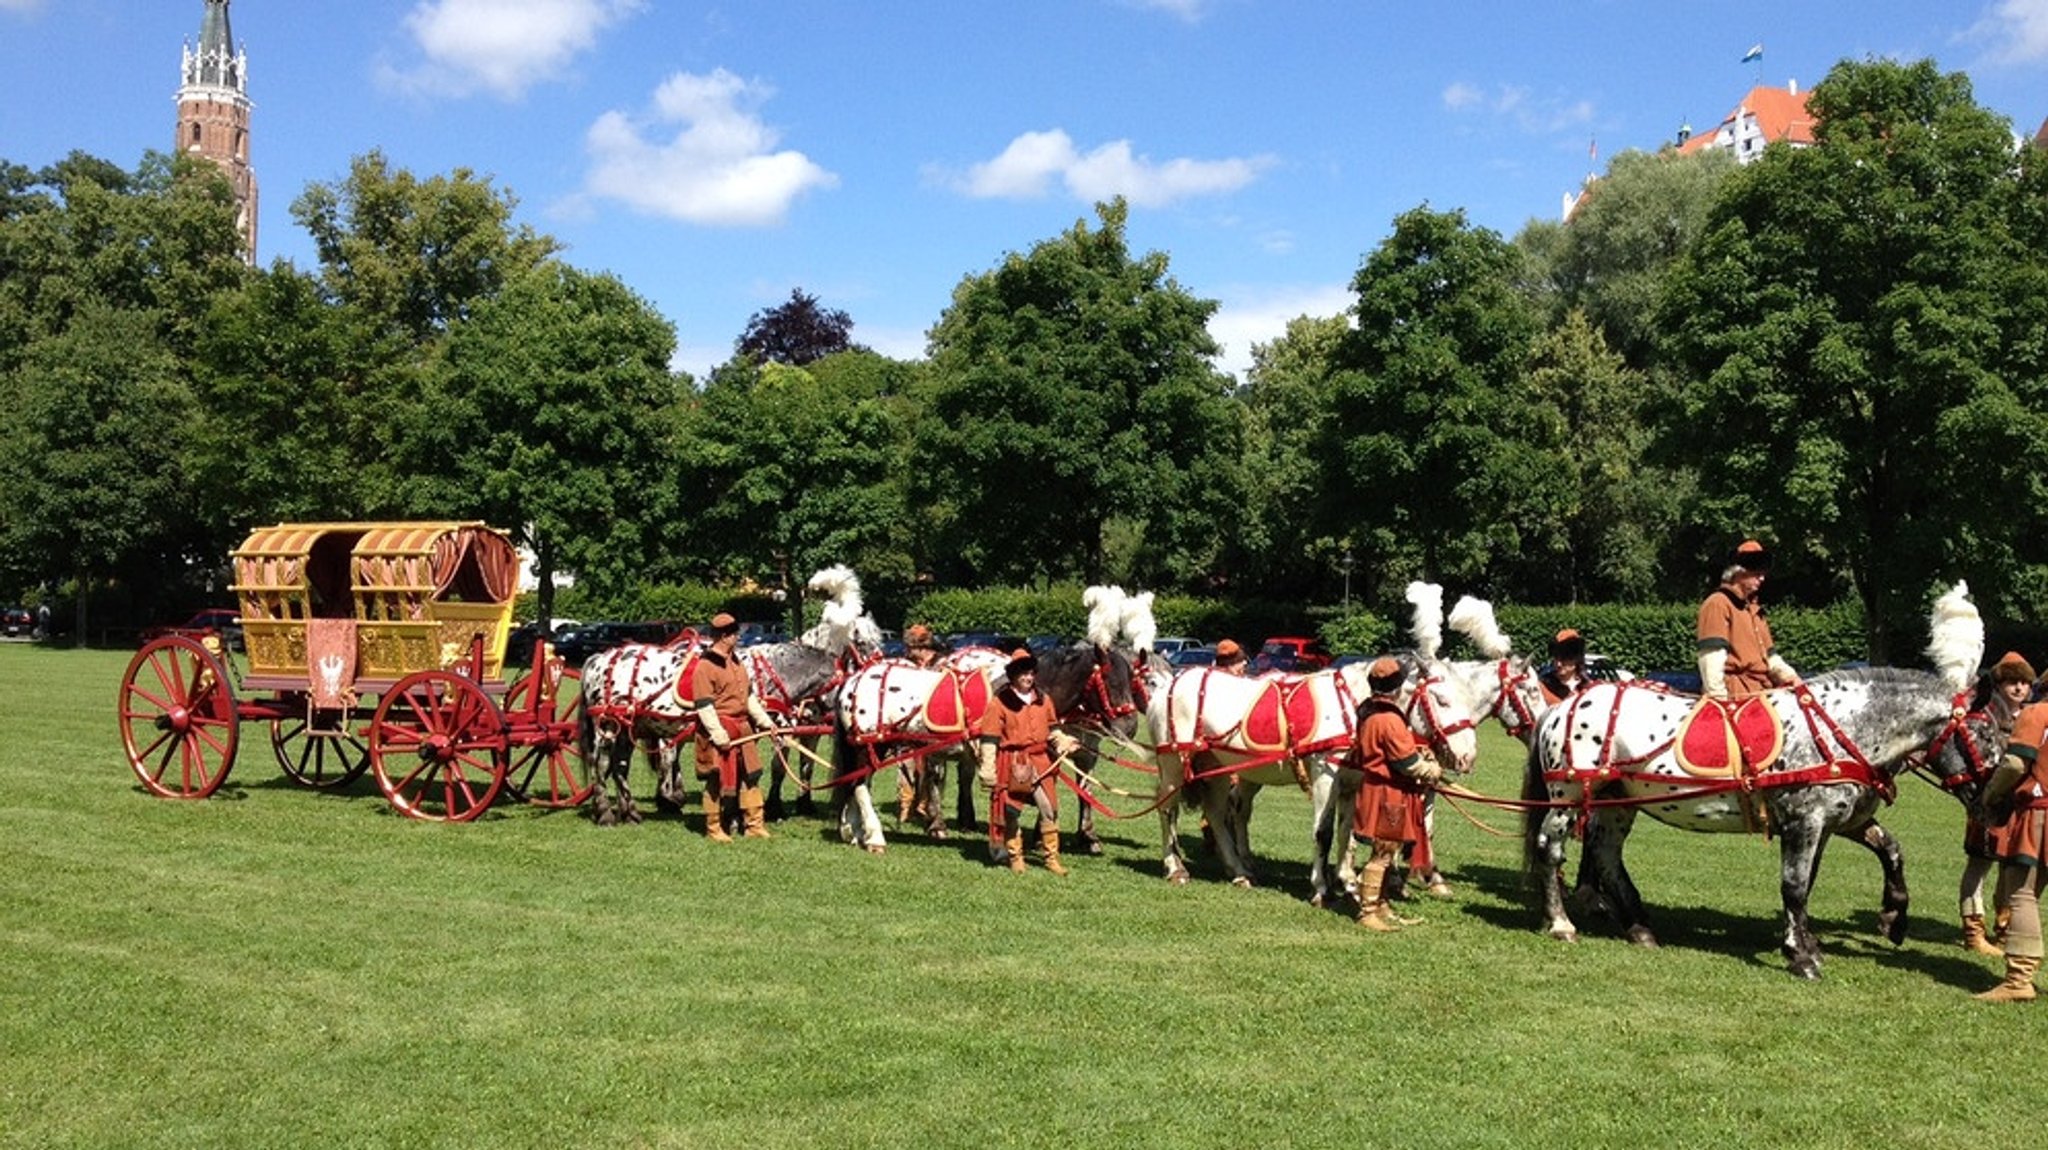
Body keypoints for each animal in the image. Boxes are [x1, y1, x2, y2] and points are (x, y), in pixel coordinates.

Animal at [585, 564, 880, 822]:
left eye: (879, 639)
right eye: (861, 642)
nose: (878, 668)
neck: (776, 673)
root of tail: (600, 658)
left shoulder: (801, 730)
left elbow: (802, 766)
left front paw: (799, 804)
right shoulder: (779, 728)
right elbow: (774, 769)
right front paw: (771, 808)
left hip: (631, 726)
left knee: (621, 765)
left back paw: (634, 811)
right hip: (610, 724)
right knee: (604, 764)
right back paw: (612, 811)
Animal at [1515, 577, 2007, 969]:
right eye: (1985, 737)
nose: (1996, 808)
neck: (1845, 729)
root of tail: (1562, 705)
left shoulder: (1839, 820)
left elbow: (1887, 853)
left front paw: (1891, 920)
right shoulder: (1803, 820)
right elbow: (1794, 885)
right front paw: (1801, 953)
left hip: (1618, 797)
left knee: (1605, 853)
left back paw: (1639, 927)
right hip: (1570, 796)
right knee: (1550, 847)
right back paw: (1561, 922)